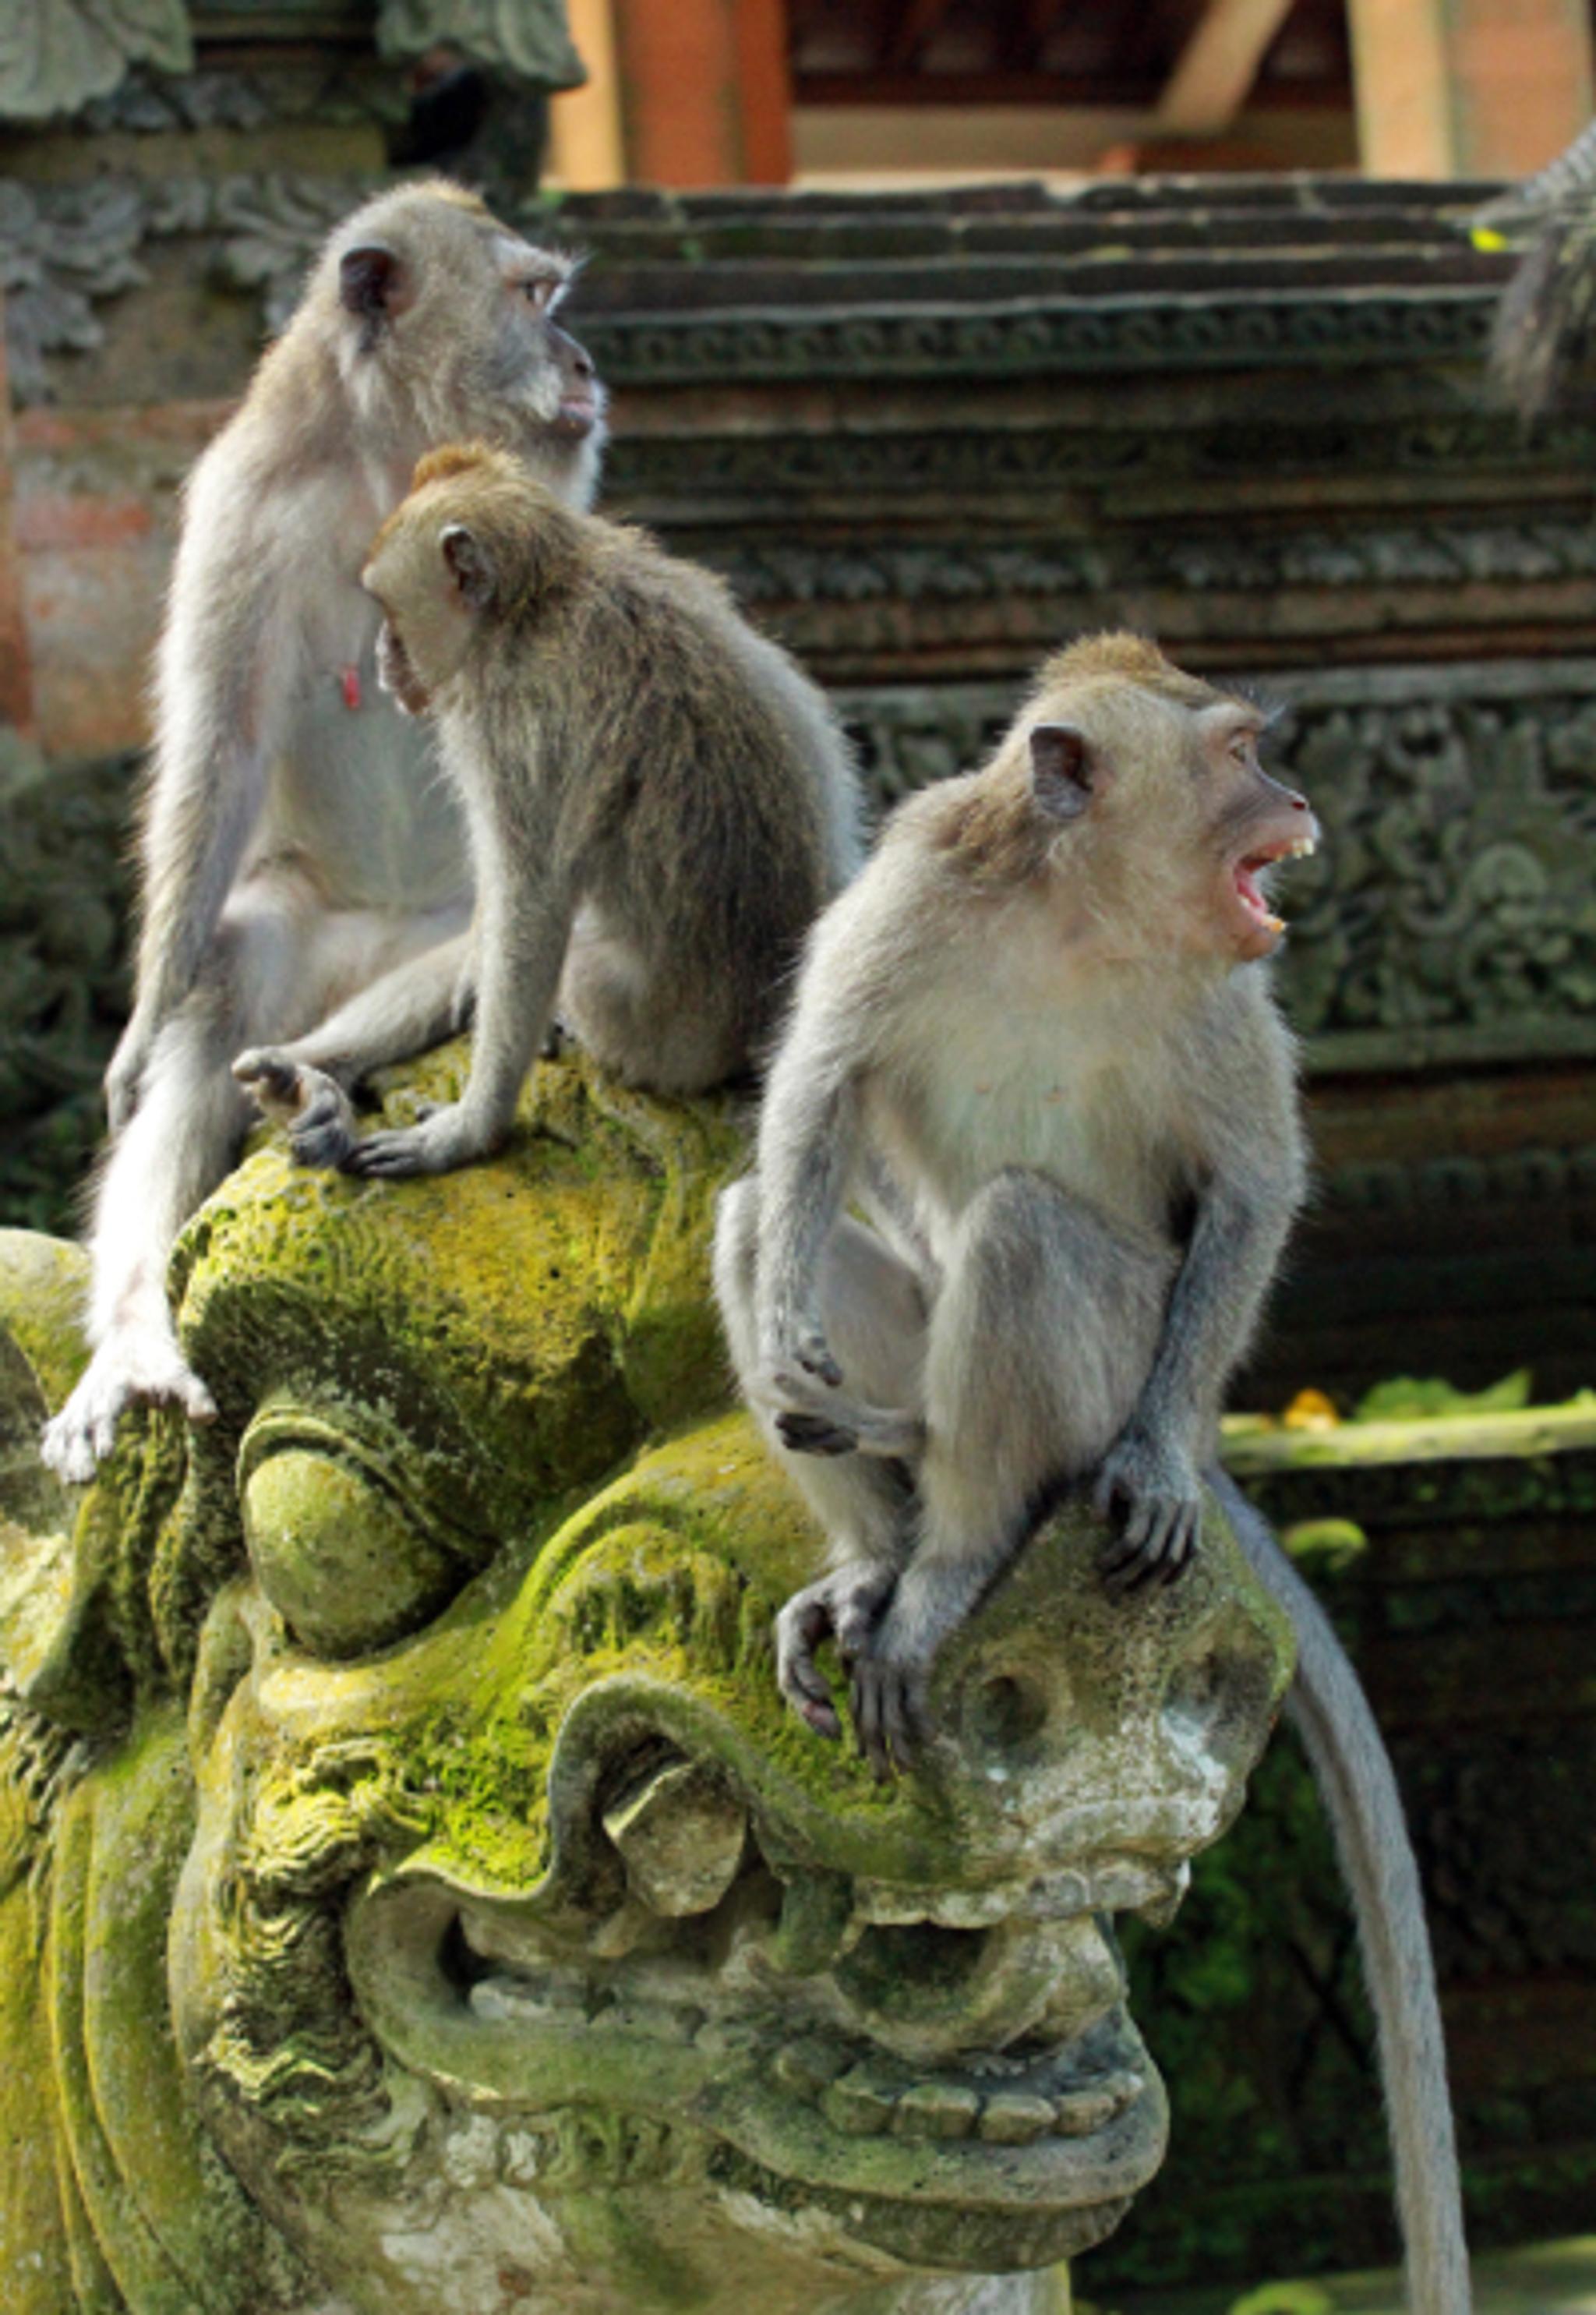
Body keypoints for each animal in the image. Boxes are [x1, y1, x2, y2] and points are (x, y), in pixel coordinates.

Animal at [41, 180, 607, 1484]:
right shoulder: (239, 504)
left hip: (420, 939)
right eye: (531, 297)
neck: (389, 458)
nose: (583, 359)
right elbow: (220, 747)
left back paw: (320, 1074)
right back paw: (139, 1330)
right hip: (300, 929)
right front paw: (136, 1027)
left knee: (490, 937)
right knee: (224, 979)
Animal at [228, 440, 864, 1180]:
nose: (384, 657)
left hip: (653, 1035)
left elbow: (530, 910)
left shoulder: (507, 721)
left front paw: (470, 1132)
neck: (538, 598)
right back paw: (304, 1080)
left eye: (387, 606)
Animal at [713, 634, 1471, 2315]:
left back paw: (954, 1569)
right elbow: (812, 1100)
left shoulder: (1225, 996)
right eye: (1241, 754)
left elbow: (1249, 1187)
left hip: (1117, 1350)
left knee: (1018, 1236)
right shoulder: (909, 889)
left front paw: (1154, 1475)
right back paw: (875, 1565)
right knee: (764, 1222)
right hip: (905, 1367)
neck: (1070, 908)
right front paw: (788, 1321)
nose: (1294, 798)